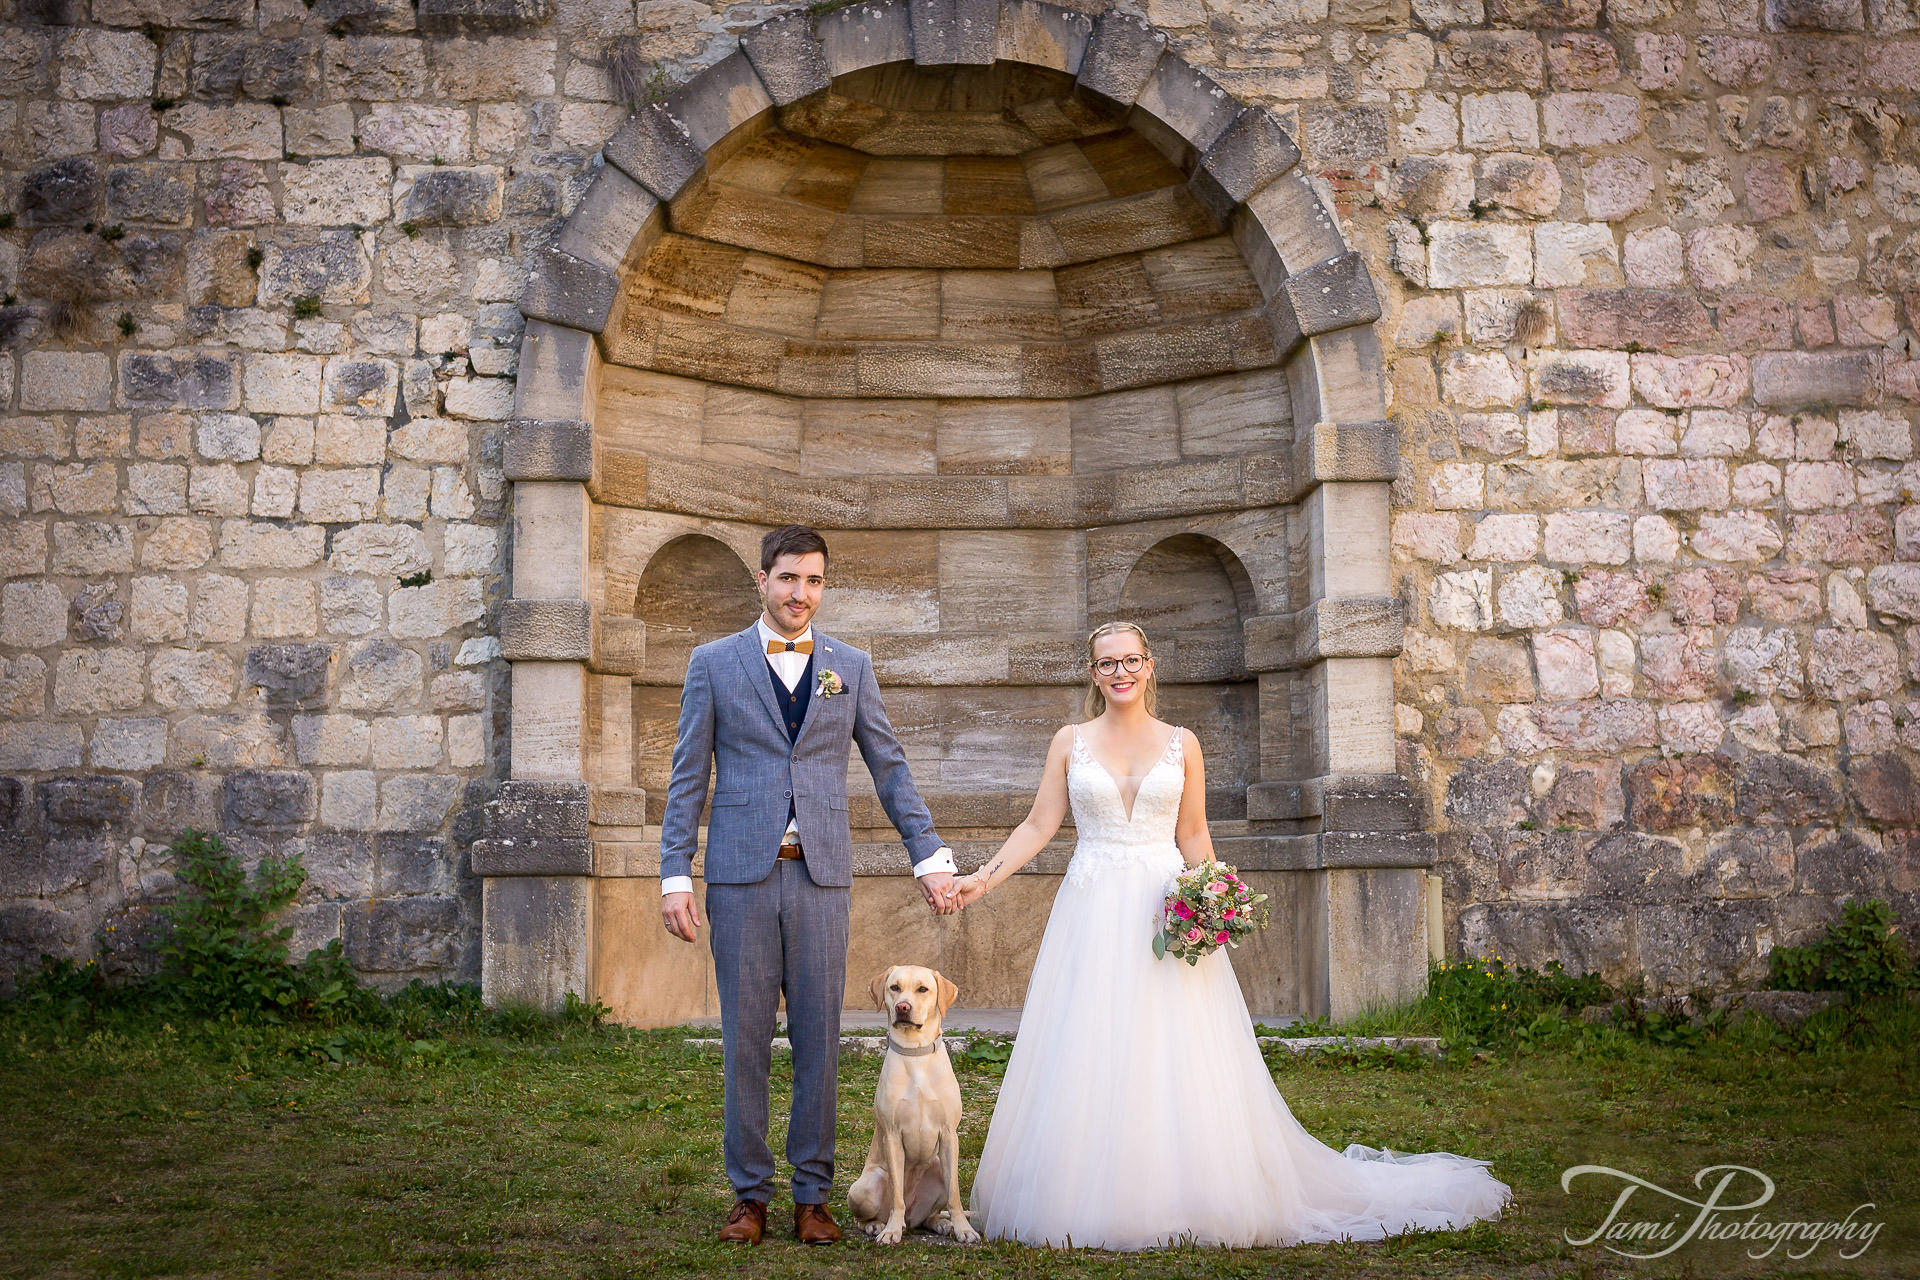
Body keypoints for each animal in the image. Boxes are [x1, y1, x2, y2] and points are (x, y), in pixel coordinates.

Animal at [848, 967, 983, 1243]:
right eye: (894, 987)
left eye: (923, 989)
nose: (902, 1007)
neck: (915, 1054)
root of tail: (912, 1219)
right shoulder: (892, 1135)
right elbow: (896, 1196)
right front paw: (890, 1231)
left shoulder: (949, 1135)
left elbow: (954, 1196)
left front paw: (963, 1229)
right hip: (866, 1186)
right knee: (866, 1216)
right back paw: (878, 1225)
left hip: (938, 1169)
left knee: (929, 1217)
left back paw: (942, 1224)